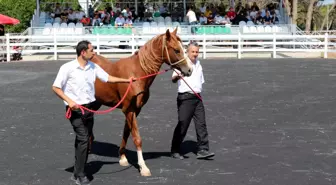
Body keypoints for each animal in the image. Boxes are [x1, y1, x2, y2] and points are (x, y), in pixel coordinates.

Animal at [90, 28, 193, 176]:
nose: (190, 70)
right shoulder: (129, 110)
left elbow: (127, 132)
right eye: (176, 50)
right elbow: (137, 138)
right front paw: (143, 167)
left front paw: (122, 157)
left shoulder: (135, 110)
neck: (136, 74)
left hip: (96, 103)